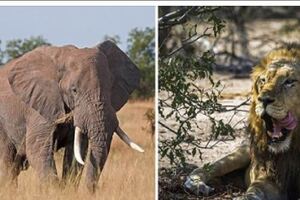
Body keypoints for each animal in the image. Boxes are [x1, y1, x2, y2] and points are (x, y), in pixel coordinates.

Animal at [0, 40, 144, 192]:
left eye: (110, 88)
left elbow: (77, 152)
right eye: (74, 90)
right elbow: (37, 149)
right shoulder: (39, 107)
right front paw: (55, 191)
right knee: (6, 160)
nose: (91, 192)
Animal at [184, 44, 300, 200]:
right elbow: (254, 190)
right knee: (203, 168)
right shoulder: (270, 176)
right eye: (263, 80)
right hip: (240, 154)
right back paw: (197, 185)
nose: (263, 99)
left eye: (289, 82)